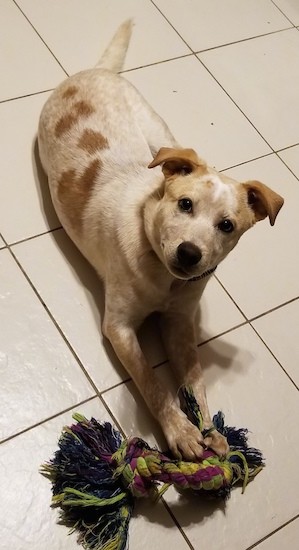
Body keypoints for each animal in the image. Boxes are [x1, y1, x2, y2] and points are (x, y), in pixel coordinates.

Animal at [37, 20, 284, 462]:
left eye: (227, 225)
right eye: (185, 204)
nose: (189, 254)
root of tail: (96, 72)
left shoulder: (181, 323)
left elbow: (195, 379)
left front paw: (210, 431)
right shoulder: (118, 327)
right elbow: (152, 384)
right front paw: (181, 431)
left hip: (158, 129)